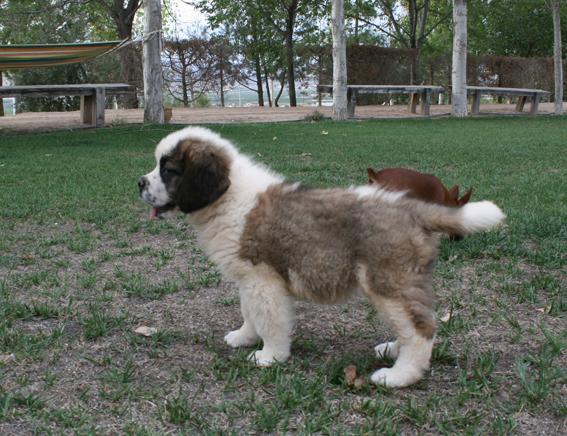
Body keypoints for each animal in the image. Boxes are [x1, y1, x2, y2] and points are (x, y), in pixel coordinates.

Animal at [139, 127, 506, 388]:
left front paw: (270, 356)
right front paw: (245, 336)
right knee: (418, 320)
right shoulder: (249, 279)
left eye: (168, 169)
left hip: (387, 282)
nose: (140, 182)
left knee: (420, 330)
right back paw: (393, 349)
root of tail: (413, 208)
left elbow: (270, 319)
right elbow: (250, 312)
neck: (228, 196)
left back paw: (399, 376)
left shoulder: (263, 279)